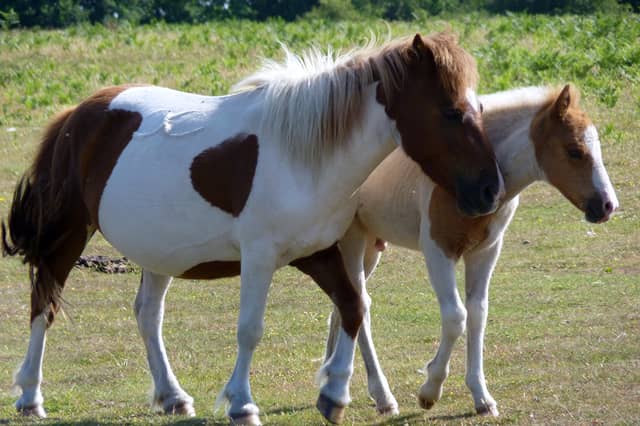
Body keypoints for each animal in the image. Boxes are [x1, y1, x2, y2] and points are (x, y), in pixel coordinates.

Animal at [1, 32, 504, 425]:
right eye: (450, 112)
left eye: (477, 106)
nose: (490, 190)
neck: (305, 157)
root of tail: (78, 114)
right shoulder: (260, 258)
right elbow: (250, 329)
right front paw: (242, 403)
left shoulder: (320, 253)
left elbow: (352, 309)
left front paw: (334, 394)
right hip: (69, 233)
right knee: (44, 303)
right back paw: (30, 396)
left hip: (157, 252)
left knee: (147, 315)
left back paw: (173, 396)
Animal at [324, 84, 619, 417]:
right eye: (574, 151)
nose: (608, 205)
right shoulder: (438, 250)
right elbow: (455, 317)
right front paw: (430, 390)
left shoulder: (485, 251)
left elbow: (478, 313)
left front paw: (481, 396)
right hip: (352, 240)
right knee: (360, 304)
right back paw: (383, 397)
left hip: (372, 247)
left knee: (343, 304)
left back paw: (331, 380)